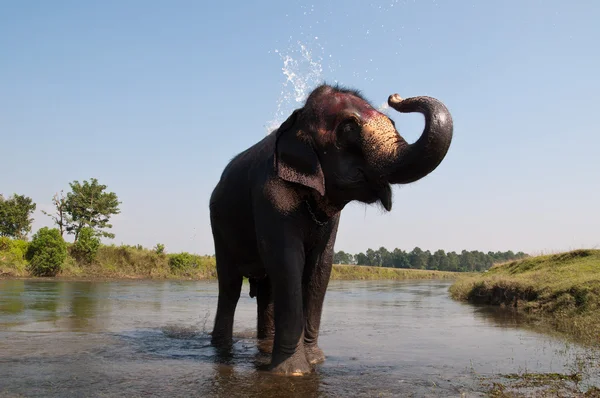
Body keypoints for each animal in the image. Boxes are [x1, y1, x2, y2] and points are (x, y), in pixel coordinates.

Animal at [209, 82, 452, 374]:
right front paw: (294, 373)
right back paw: (221, 349)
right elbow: (287, 261)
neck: (297, 118)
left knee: (266, 288)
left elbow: (321, 267)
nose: (395, 97)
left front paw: (315, 360)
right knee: (230, 285)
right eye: (348, 128)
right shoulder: (269, 194)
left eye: (393, 122)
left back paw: (264, 347)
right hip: (218, 224)